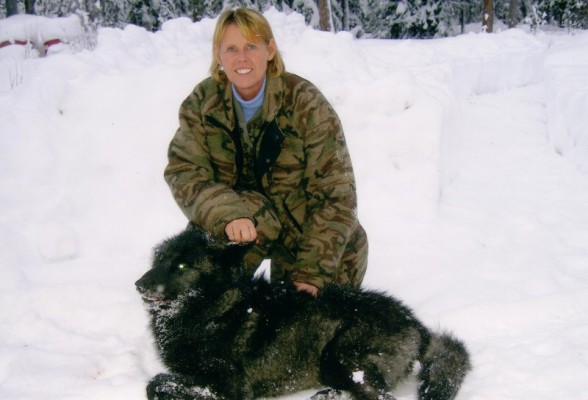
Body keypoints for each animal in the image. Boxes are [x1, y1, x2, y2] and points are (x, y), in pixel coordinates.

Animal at [136, 226, 471, 400]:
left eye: (182, 265)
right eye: (159, 259)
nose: (138, 284)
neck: (216, 311)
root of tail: (418, 326)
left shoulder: (229, 387)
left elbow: (156, 383)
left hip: (337, 356)